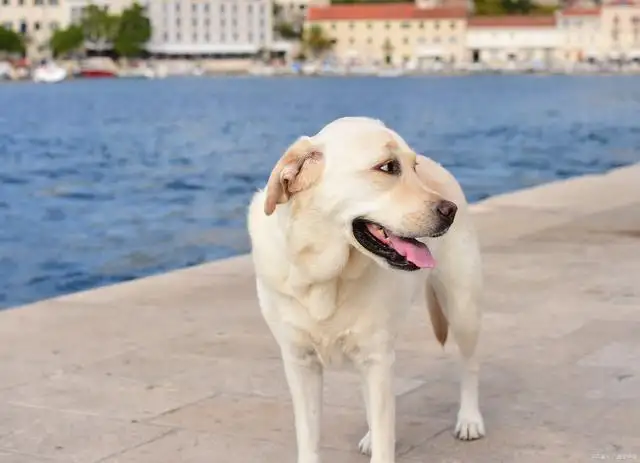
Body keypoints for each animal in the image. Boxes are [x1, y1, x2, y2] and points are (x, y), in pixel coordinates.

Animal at [248, 117, 482, 463]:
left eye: (413, 167)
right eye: (387, 167)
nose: (449, 210)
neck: (326, 275)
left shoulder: (377, 358)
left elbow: (385, 438)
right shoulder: (300, 362)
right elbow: (309, 436)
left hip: (463, 306)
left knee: (469, 364)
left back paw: (469, 419)